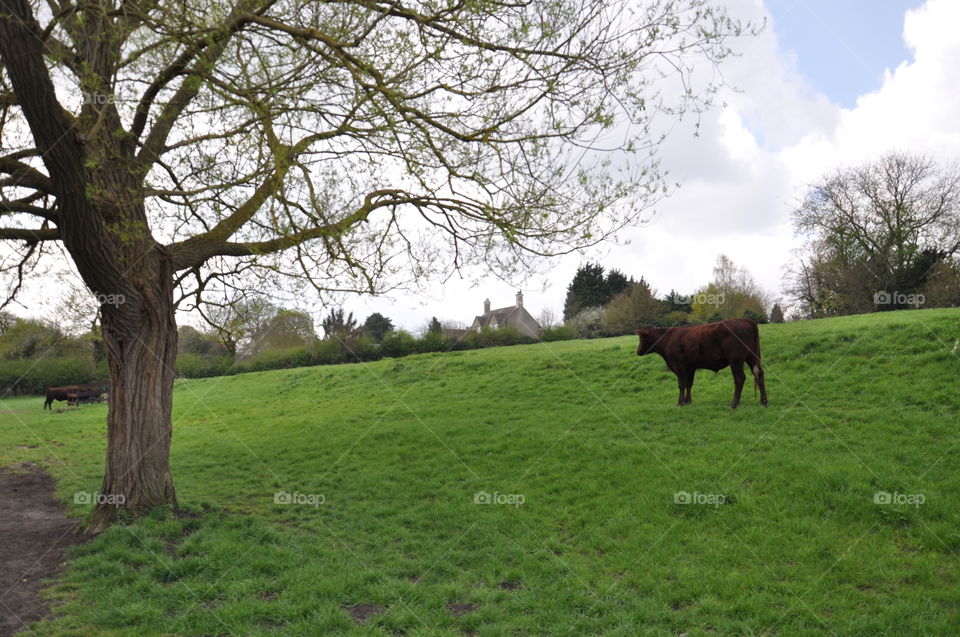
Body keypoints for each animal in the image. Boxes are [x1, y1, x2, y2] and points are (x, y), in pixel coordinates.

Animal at [636, 316, 764, 408]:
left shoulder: (680, 367)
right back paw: (764, 402)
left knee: (740, 378)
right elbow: (689, 384)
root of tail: (744, 319)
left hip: (736, 360)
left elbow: (681, 385)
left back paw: (734, 404)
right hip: (752, 357)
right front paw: (688, 401)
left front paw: (680, 403)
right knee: (760, 374)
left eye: (642, 338)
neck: (668, 340)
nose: (638, 352)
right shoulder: (690, 368)